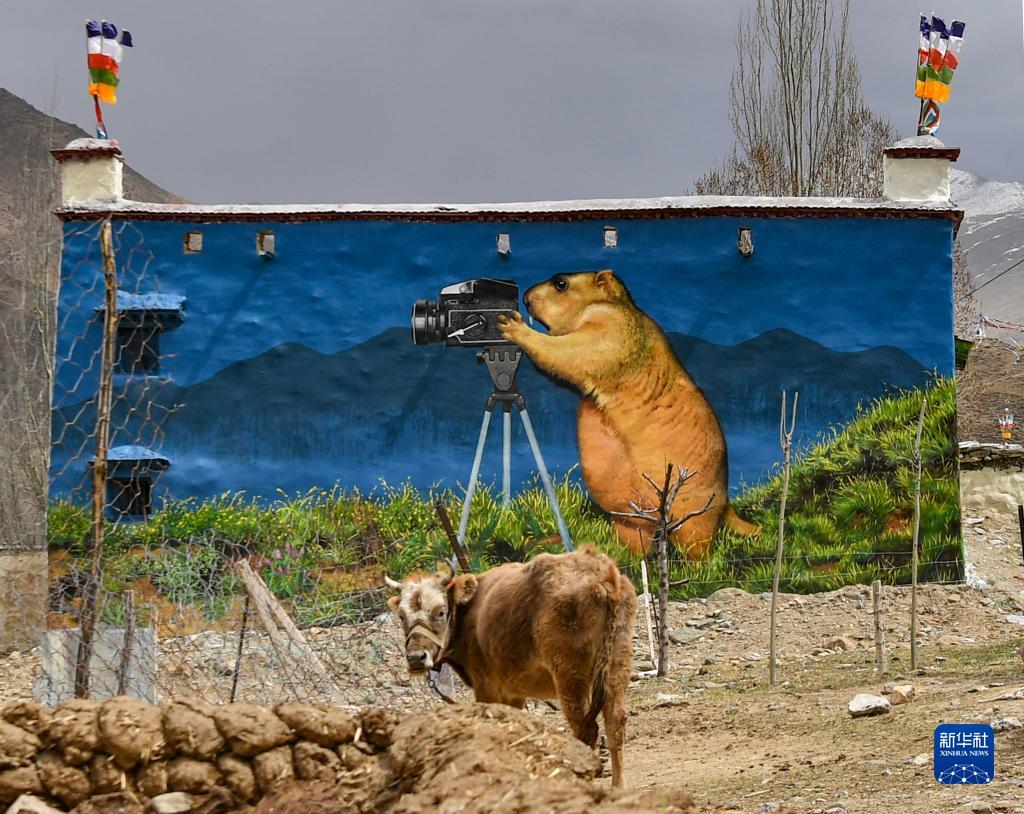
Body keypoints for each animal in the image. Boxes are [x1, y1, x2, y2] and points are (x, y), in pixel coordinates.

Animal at [384, 545, 637, 787]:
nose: (416, 658)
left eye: (441, 611)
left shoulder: (486, 688)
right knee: (615, 723)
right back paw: (618, 787)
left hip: (570, 677)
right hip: (616, 666)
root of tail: (603, 574)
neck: (470, 612)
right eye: (401, 616)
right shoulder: (513, 693)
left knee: (586, 729)